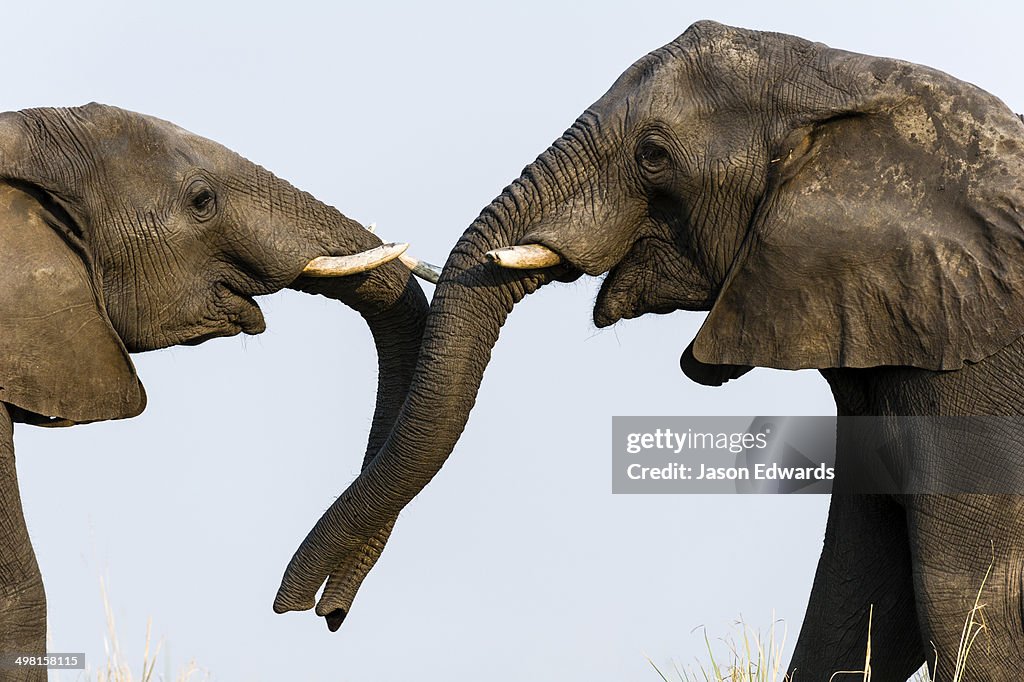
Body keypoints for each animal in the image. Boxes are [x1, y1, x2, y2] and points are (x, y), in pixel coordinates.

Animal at [270, 18, 1024, 675]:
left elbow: (959, 604)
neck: (856, 86)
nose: (317, 614)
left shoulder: (974, 386)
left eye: (655, 155)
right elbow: (859, 597)